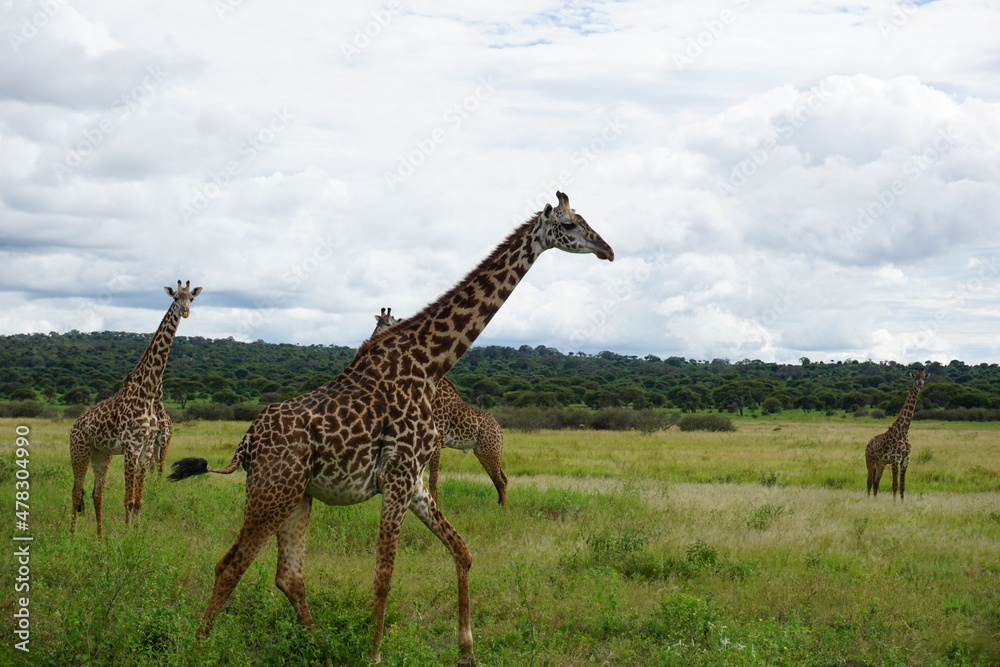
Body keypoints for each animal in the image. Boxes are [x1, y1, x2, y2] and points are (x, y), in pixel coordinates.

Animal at [70, 280, 202, 537]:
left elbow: (139, 499)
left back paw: (100, 537)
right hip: (79, 451)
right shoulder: (132, 447)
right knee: (76, 491)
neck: (148, 393)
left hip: (101, 454)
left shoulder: (147, 448)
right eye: (175, 298)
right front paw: (126, 534)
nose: (185, 312)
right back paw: (71, 536)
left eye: (191, 298)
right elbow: (128, 499)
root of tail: (75, 424)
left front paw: (137, 534)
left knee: (96, 492)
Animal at [371, 307, 508, 506]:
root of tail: (499, 428)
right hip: (481, 451)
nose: (373, 339)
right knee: (500, 477)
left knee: (501, 479)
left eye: (389, 323)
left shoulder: (436, 441)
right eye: (376, 323)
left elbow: (433, 478)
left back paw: (504, 509)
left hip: (491, 449)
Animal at [865, 369, 926, 501]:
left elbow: (902, 486)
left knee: (876, 481)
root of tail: (868, 443)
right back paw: (868, 501)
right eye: (915, 378)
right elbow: (895, 485)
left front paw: (901, 504)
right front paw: (894, 504)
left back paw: (875, 501)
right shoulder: (895, 459)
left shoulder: (905, 460)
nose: (920, 384)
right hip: (870, 460)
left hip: (881, 463)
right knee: (869, 482)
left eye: (924, 378)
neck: (904, 431)